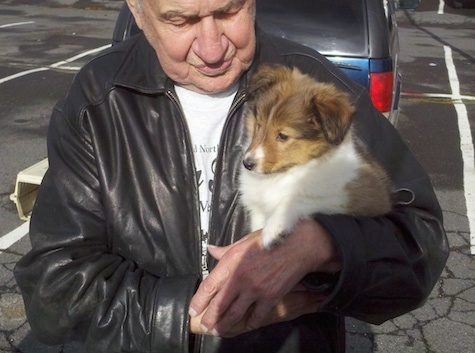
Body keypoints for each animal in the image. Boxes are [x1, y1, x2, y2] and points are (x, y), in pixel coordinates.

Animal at [240, 64, 392, 249]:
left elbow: (299, 199)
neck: (284, 175)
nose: (247, 164)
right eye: (259, 125)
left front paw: (274, 227)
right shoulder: (257, 211)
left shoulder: (362, 197)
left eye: (282, 136)